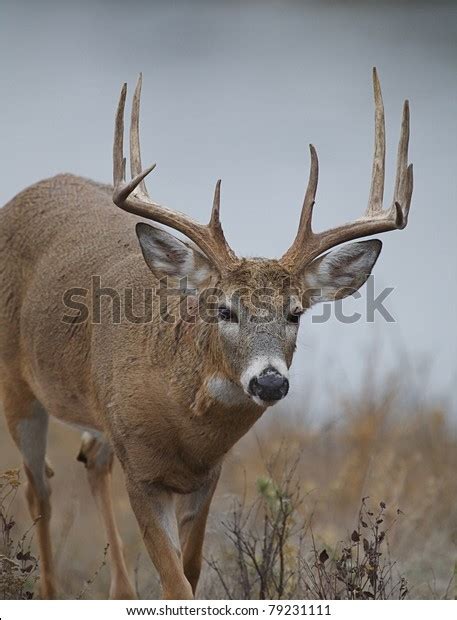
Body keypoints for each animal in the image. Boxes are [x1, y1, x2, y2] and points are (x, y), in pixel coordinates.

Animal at [0, 69, 412, 600]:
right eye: (224, 309)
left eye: (296, 312)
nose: (270, 380)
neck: (184, 425)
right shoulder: (142, 473)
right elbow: (176, 583)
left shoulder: (205, 476)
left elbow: (191, 570)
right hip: (17, 384)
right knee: (40, 489)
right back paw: (50, 589)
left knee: (88, 462)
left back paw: (121, 590)